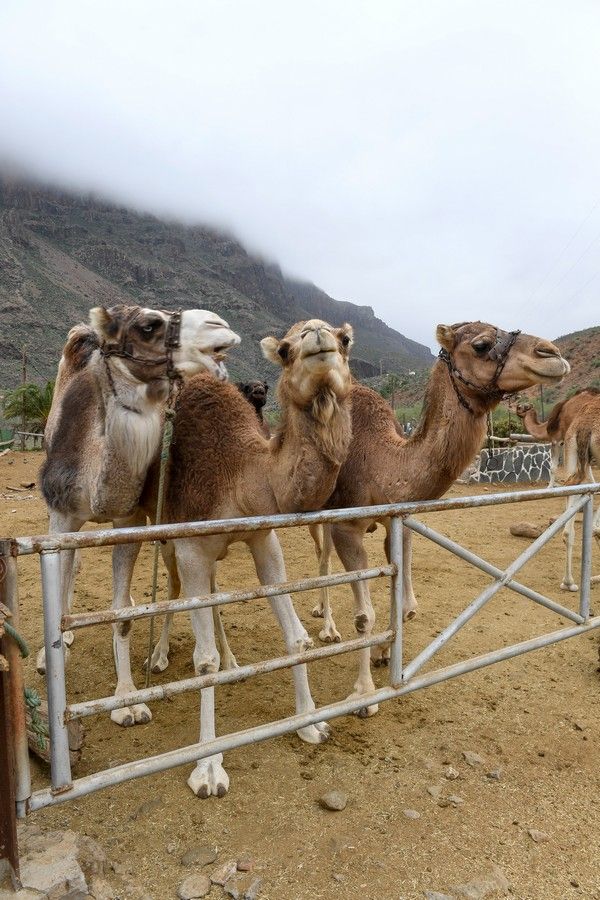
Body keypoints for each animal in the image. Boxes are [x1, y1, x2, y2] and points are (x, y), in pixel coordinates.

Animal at [35, 302, 239, 724]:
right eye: (148, 326)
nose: (221, 327)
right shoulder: (62, 515)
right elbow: (59, 583)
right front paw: (51, 658)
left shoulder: (126, 520)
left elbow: (123, 616)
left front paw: (128, 699)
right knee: (71, 567)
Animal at [139, 316, 354, 796]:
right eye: (286, 350)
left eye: (345, 339)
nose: (318, 336)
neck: (238, 473)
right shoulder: (191, 545)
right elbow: (203, 660)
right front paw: (208, 769)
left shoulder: (262, 538)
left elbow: (296, 636)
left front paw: (311, 723)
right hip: (155, 528)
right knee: (170, 587)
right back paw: (154, 660)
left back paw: (235, 662)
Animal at [312, 320, 568, 712]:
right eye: (481, 345)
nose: (552, 354)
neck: (380, 461)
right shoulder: (347, 526)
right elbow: (364, 616)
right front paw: (364, 694)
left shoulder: (399, 519)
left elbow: (406, 606)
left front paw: (385, 653)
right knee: (321, 559)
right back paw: (325, 628)